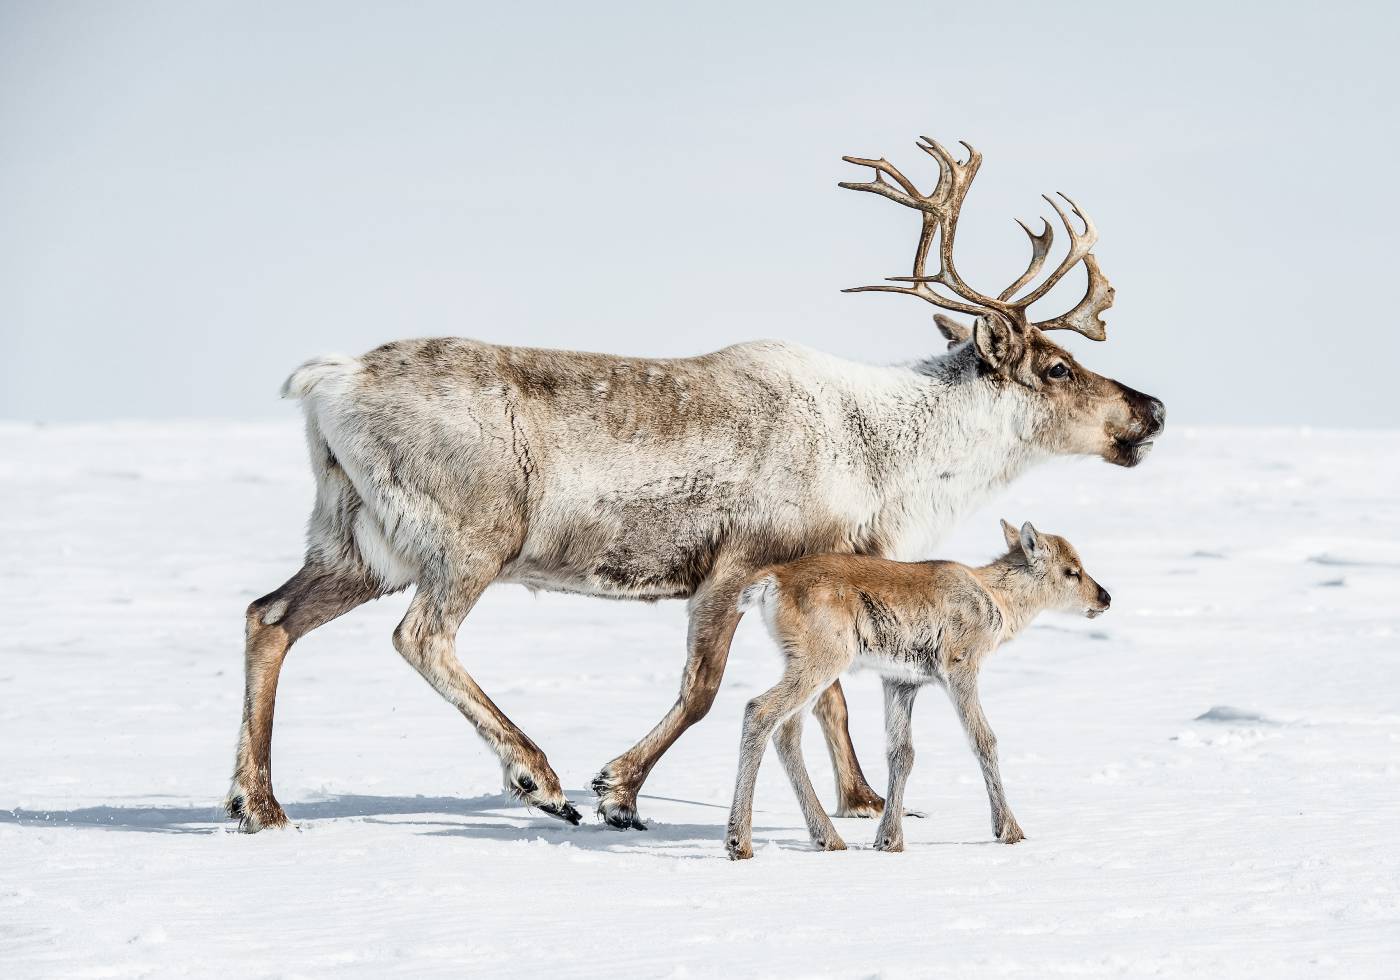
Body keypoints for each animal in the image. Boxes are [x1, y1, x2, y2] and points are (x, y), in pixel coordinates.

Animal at [728, 520, 1108, 856]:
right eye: (1072, 570)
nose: (1104, 598)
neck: (997, 599)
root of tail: (771, 582)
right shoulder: (960, 668)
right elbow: (983, 740)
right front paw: (1009, 830)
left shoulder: (901, 682)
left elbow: (901, 753)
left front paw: (889, 839)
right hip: (821, 660)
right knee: (759, 710)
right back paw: (739, 842)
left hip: (809, 666)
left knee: (787, 732)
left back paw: (828, 838)